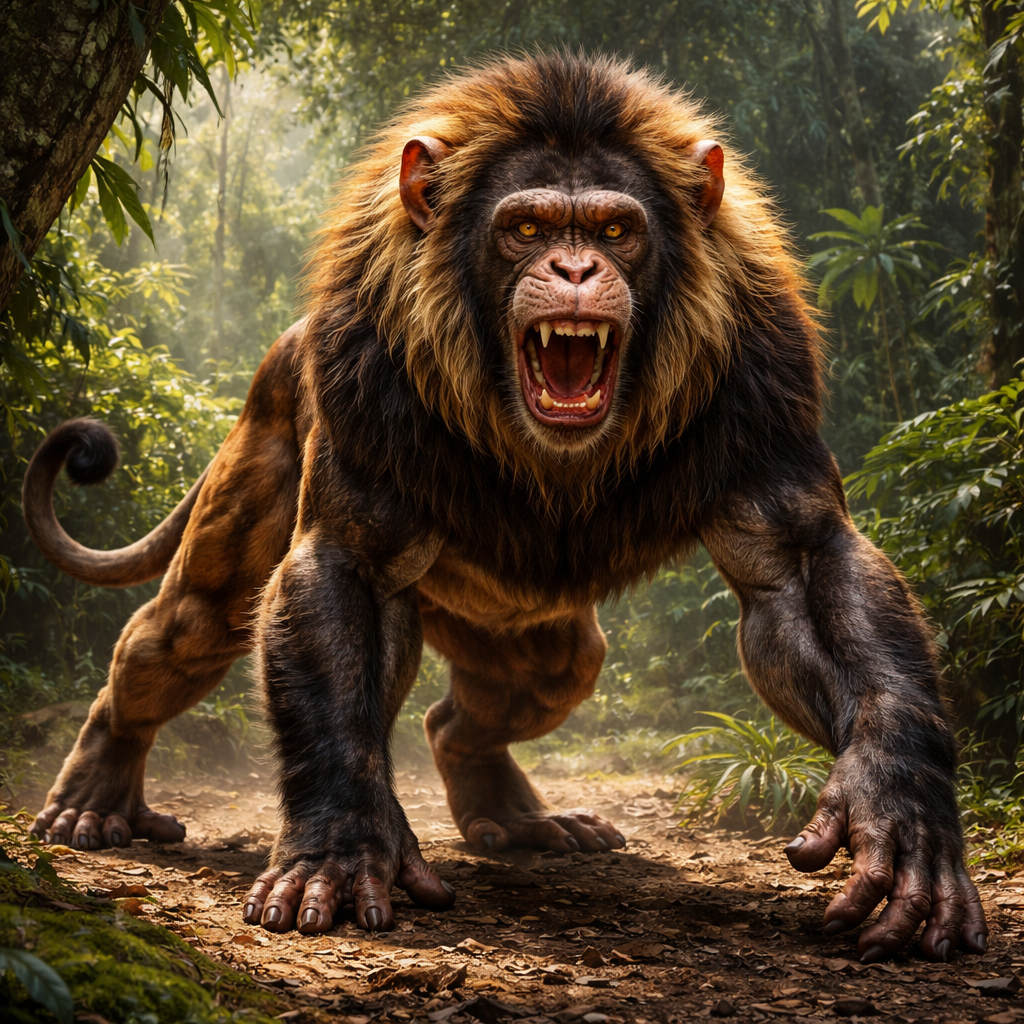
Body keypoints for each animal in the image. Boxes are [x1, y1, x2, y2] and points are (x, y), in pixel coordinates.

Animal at [22, 53, 987, 963]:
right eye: (526, 228)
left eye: (615, 229)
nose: (574, 267)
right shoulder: (366, 374)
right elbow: (344, 581)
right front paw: (339, 847)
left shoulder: (762, 378)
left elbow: (805, 570)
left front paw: (900, 810)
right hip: (261, 454)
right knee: (178, 635)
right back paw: (93, 797)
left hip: (524, 637)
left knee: (513, 690)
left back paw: (518, 818)